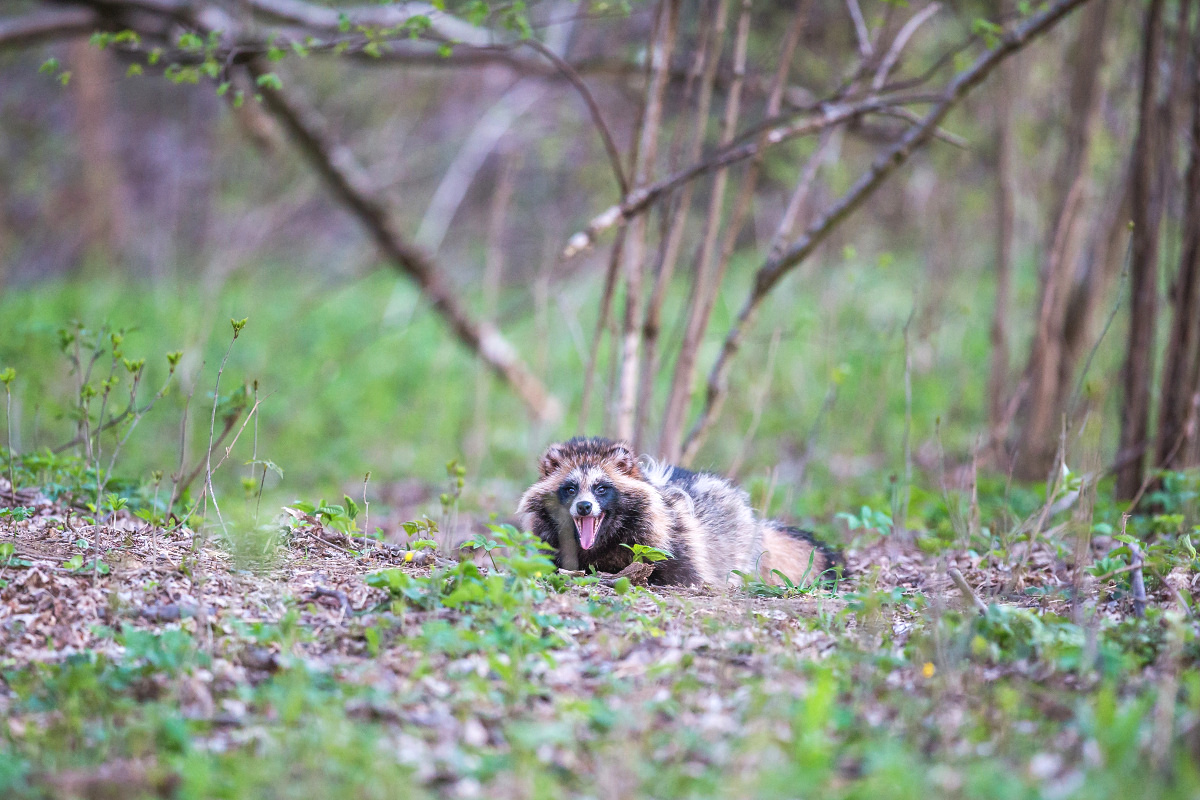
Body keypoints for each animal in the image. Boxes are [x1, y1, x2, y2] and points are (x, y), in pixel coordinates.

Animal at [518, 438, 844, 587]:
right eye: (570, 488)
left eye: (601, 488)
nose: (584, 506)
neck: (598, 546)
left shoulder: (672, 541)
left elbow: (685, 575)